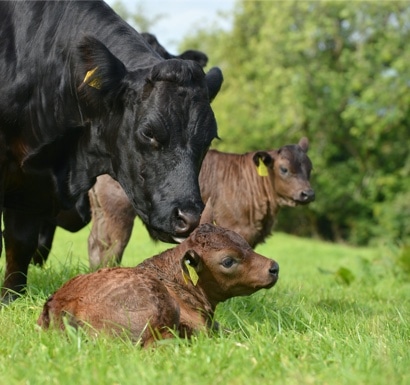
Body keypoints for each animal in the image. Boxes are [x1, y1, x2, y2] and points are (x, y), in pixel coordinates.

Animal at [0, 1, 223, 302]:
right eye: (148, 132)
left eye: (210, 138)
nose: (189, 217)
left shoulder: (33, 184)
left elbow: (21, 242)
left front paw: (11, 298)